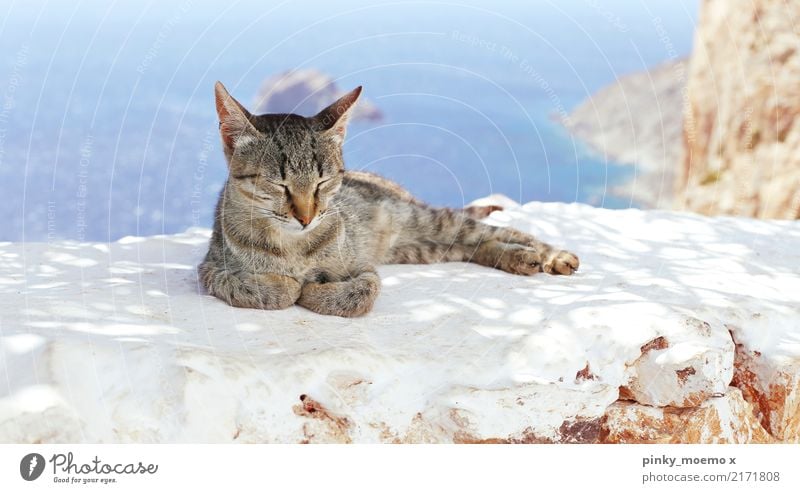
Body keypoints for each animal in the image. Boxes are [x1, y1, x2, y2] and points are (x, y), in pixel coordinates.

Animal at [197, 81, 580, 318]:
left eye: (323, 182)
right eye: (280, 184)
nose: (306, 217)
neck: (293, 246)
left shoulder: (363, 266)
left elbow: (362, 292)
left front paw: (313, 291)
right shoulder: (211, 269)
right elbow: (251, 287)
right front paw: (286, 286)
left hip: (428, 223)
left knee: (500, 231)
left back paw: (550, 255)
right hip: (424, 249)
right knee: (475, 245)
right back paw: (519, 258)